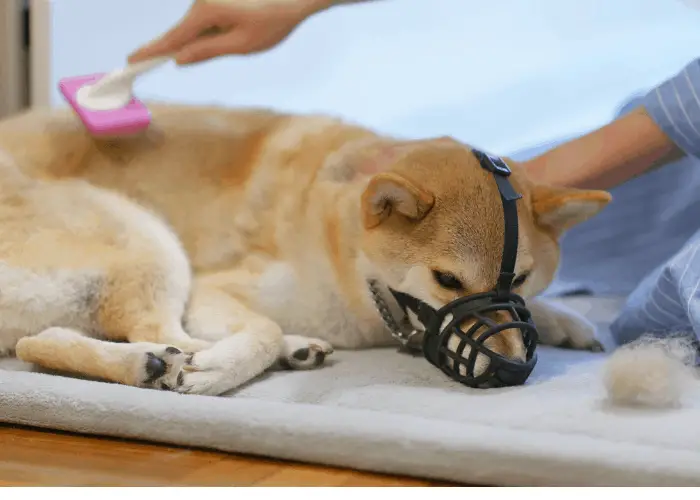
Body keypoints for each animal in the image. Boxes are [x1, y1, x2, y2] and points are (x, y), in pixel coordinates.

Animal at [0, 104, 608, 394]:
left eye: (519, 280)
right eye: (448, 281)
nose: (510, 371)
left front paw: (565, 321)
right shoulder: (214, 288)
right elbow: (260, 329)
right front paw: (217, 369)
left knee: (40, 341)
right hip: (148, 236)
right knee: (149, 334)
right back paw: (158, 365)